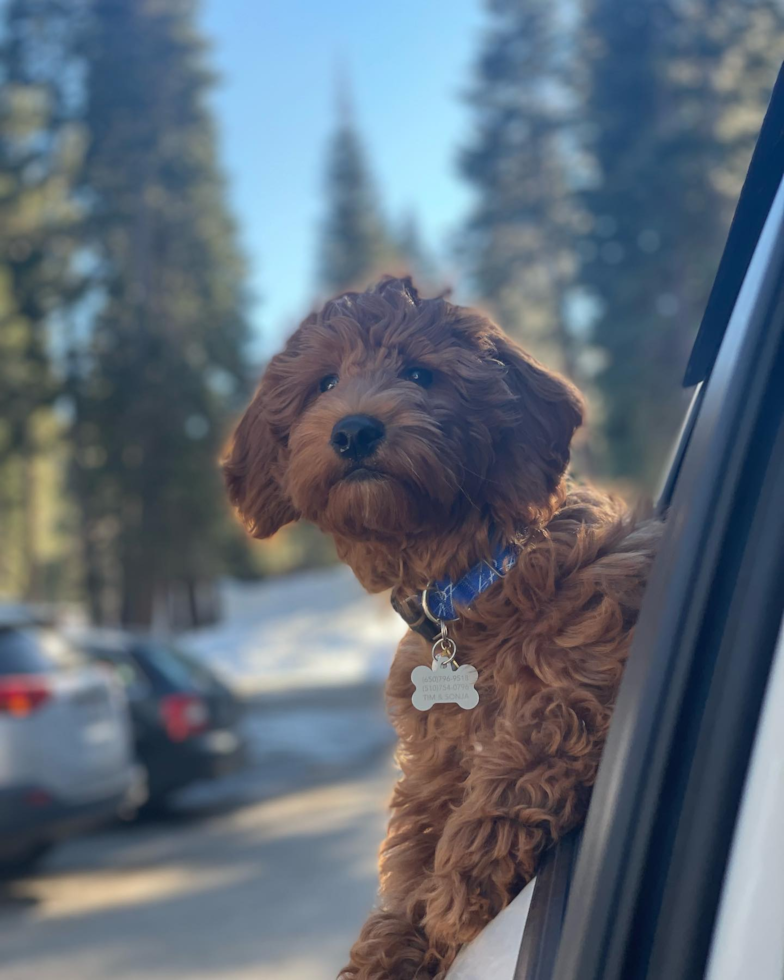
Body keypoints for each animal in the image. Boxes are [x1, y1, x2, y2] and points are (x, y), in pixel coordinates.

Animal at [220, 276, 660, 980]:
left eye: (421, 374)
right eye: (324, 383)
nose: (354, 430)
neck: (469, 584)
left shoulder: (590, 663)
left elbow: (526, 747)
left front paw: (459, 884)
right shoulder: (433, 764)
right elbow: (413, 849)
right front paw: (387, 949)